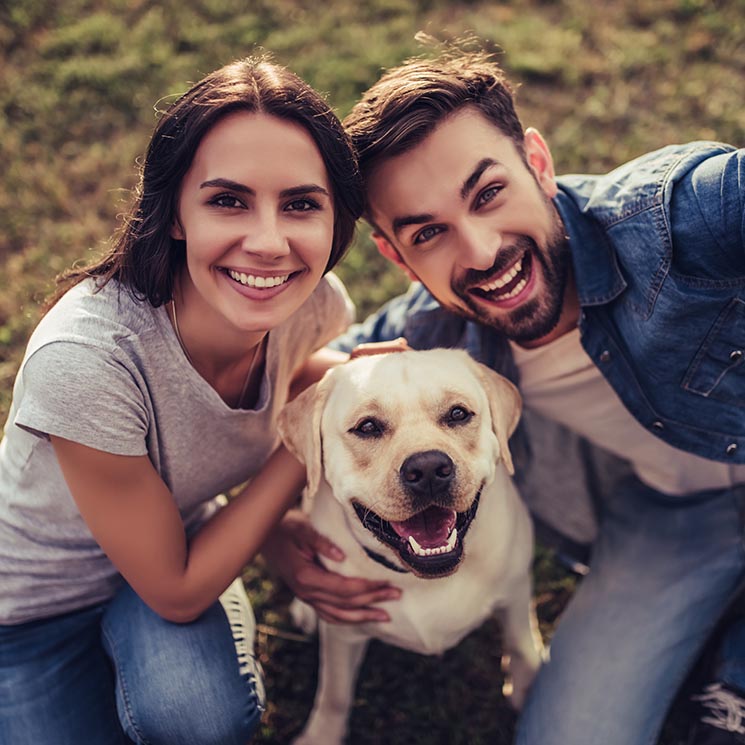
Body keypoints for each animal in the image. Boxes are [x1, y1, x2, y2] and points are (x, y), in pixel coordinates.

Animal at [278, 348, 540, 744]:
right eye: (367, 427)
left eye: (458, 414)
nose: (429, 468)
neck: (421, 579)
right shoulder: (342, 634)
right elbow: (334, 693)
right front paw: (320, 735)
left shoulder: (515, 591)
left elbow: (521, 644)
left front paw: (528, 687)